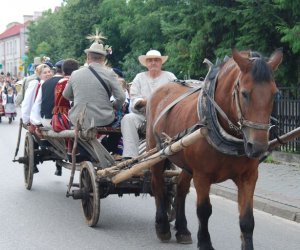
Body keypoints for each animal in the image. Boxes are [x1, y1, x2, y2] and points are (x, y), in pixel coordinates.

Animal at [146, 47, 282, 249]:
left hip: (186, 162)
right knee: (158, 185)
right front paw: (204, 242)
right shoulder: (202, 175)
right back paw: (162, 226)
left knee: (181, 188)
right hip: (156, 152)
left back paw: (182, 229)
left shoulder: (248, 176)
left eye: (274, 93)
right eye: (244, 93)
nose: (257, 147)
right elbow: (204, 210)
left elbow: (247, 219)